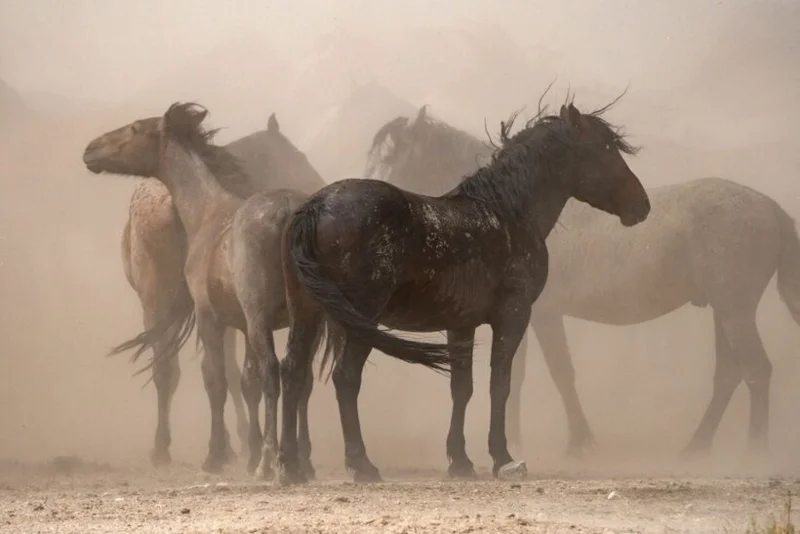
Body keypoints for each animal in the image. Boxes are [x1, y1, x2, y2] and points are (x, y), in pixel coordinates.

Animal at [83, 102, 339, 478]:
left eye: (134, 128)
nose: (90, 150)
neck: (207, 211)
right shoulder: (241, 324)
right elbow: (246, 381)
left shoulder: (211, 318)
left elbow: (216, 380)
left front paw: (216, 455)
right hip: (305, 319)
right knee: (296, 373)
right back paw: (294, 462)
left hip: (250, 316)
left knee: (269, 372)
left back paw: (266, 460)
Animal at [277, 99, 651, 484]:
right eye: (604, 149)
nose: (641, 204)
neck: (506, 212)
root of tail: (316, 207)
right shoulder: (514, 316)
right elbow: (500, 383)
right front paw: (502, 457)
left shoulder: (461, 324)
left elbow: (462, 388)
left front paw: (460, 461)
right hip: (361, 317)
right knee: (345, 377)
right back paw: (361, 464)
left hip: (306, 312)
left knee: (292, 372)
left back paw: (290, 466)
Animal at [366, 104, 800, 459]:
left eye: (395, 157)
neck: (507, 211)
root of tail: (772, 209)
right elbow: (519, 375)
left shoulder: (541, 314)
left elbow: (557, 373)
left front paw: (577, 441)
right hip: (724, 310)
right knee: (729, 373)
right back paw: (698, 445)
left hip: (734, 309)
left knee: (756, 370)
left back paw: (754, 451)